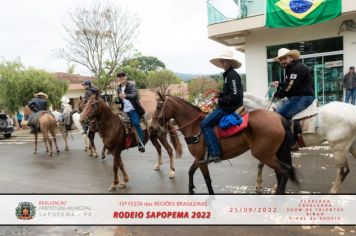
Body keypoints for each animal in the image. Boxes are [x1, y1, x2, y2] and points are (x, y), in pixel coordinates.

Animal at [153, 92, 300, 194]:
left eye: (159, 106)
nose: (153, 125)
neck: (194, 126)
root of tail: (278, 118)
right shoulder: (199, 159)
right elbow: (190, 171)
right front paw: (190, 189)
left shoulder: (201, 160)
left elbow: (207, 179)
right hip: (273, 153)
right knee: (281, 172)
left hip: (264, 154)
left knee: (285, 170)